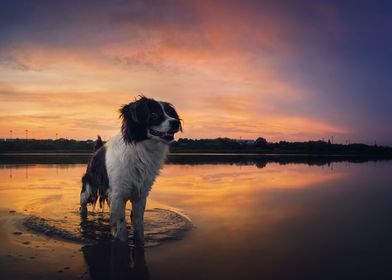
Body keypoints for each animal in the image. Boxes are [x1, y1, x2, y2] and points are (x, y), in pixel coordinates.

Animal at [80, 96, 184, 243]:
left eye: (170, 114)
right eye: (153, 114)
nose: (176, 122)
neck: (141, 149)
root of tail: (97, 149)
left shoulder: (141, 195)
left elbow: (138, 224)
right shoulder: (117, 195)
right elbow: (121, 228)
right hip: (89, 189)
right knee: (82, 203)